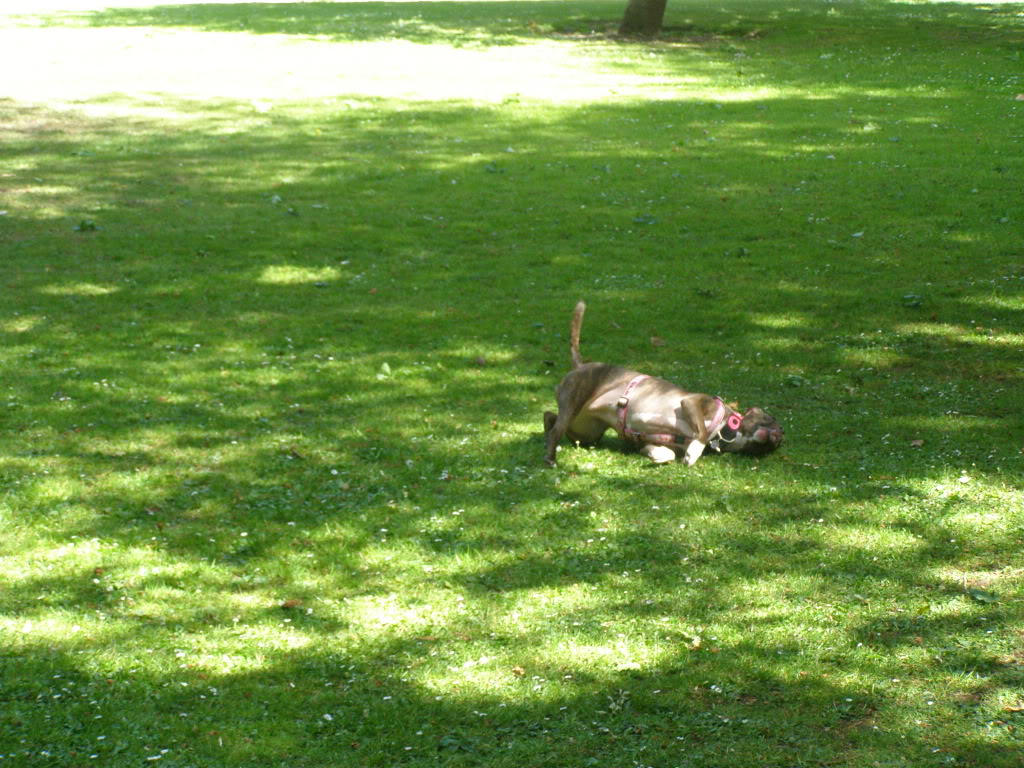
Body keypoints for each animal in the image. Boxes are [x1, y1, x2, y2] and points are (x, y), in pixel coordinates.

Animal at [544, 303, 782, 466]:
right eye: (772, 419)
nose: (781, 435)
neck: (723, 429)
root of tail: (580, 365)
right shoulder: (692, 402)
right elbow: (701, 433)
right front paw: (694, 451)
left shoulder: (649, 440)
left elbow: (665, 452)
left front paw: (660, 455)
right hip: (575, 402)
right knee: (557, 427)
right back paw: (551, 457)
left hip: (586, 431)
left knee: (550, 417)